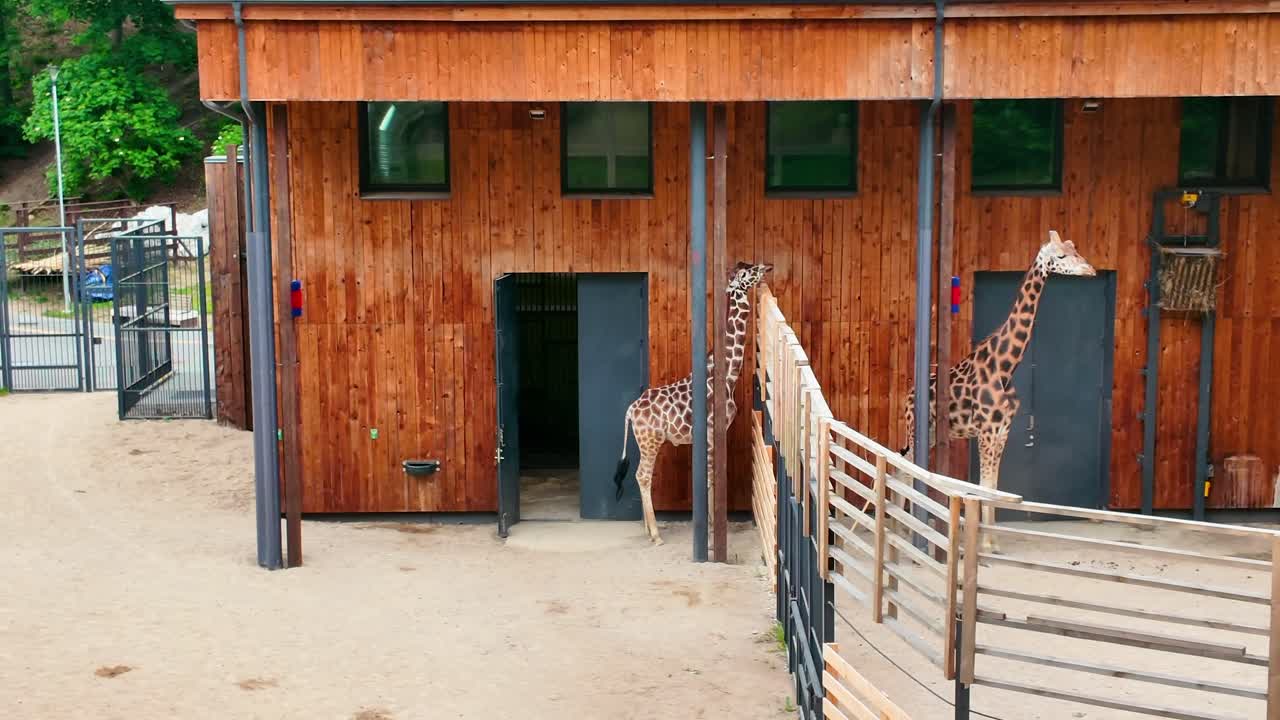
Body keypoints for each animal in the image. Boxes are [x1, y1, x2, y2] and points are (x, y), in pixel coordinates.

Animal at [613, 261, 774, 545]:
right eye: (745, 274)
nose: (767, 266)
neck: (727, 376)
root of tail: (631, 410)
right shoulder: (711, 431)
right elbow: (710, 477)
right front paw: (710, 531)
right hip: (651, 440)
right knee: (642, 475)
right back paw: (656, 535)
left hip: (644, 441)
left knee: (640, 476)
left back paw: (648, 530)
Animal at [901, 231, 1095, 551]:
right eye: (1061, 256)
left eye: (1075, 249)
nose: (1090, 270)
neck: (1005, 367)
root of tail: (906, 394)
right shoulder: (986, 431)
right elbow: (983, 485)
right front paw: (986, 545)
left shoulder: (1003, 430)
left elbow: (993, 486)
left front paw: (991, 543)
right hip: (915, 429)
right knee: (905, 468)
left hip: (927, 434)